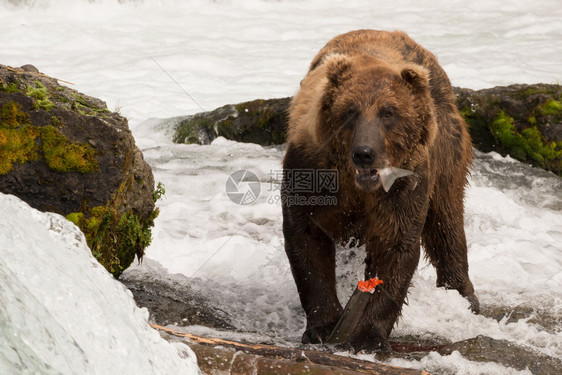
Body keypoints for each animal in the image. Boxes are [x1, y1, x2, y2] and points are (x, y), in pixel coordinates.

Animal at [280, 29, 476, 352]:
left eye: (389, 112)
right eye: (350, 110)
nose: (364, 153)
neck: (357, 184)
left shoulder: (403, 186)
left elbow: (396, 245)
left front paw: (368, 336)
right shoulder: (309, 170)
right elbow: (306, 238)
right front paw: (323, 326)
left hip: (446, 151)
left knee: (446, 220)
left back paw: (464, 296)